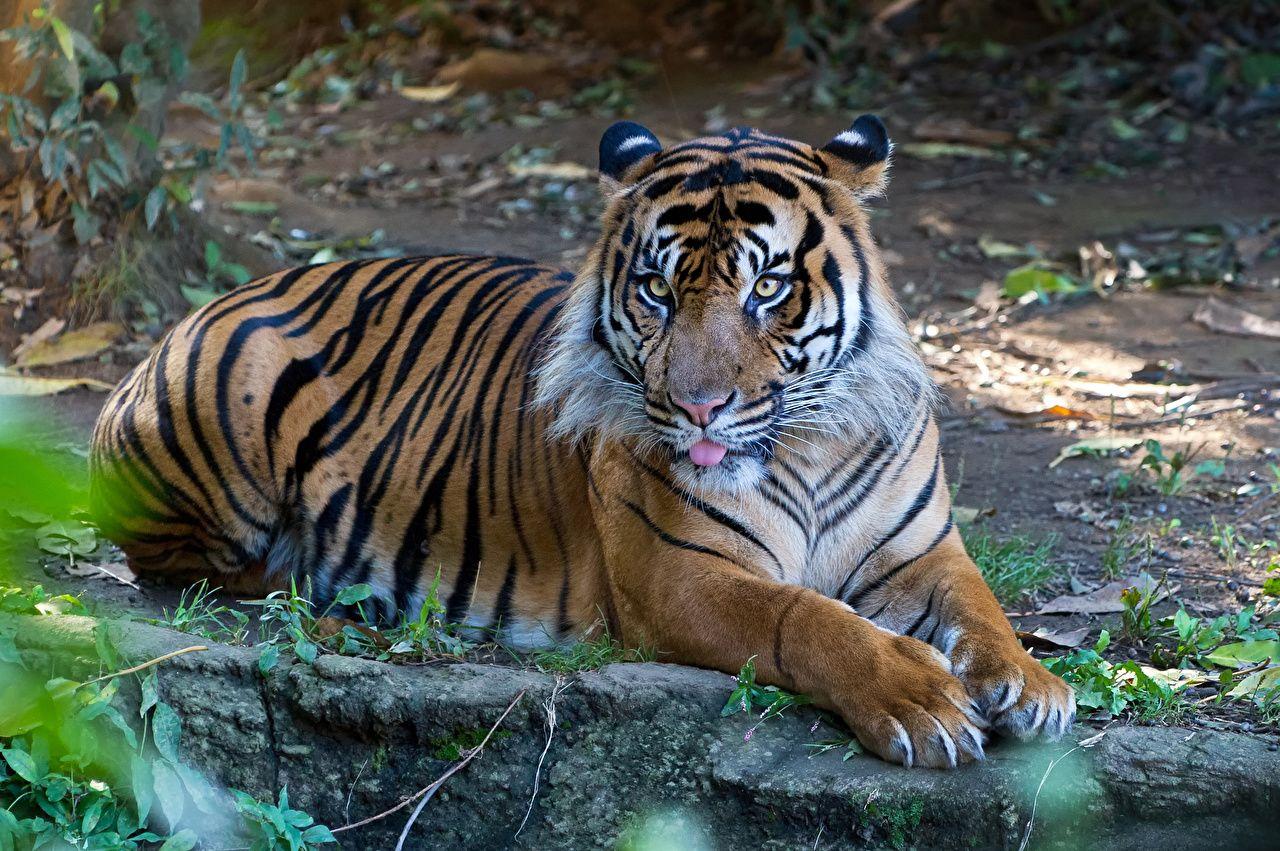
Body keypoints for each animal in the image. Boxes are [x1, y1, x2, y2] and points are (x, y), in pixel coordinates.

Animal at [85, 114, 1075, 767]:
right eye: (657, 289)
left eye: (766, 288)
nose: (700, 408)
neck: (804, 444)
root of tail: (202, 309)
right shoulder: (680, 574)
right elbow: (806, 618)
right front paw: (921, 700)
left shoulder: (924, 552)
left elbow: (984, 608)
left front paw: (1032, 686)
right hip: (225, 443)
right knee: (196, 564)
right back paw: (337, 598)